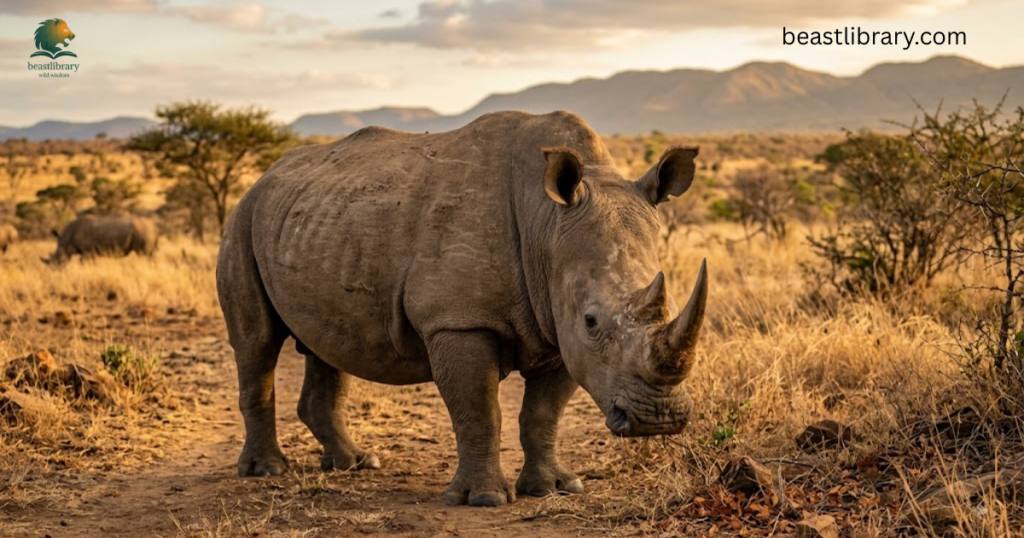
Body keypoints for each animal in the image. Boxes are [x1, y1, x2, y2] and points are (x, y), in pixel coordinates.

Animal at [217, 110, 708, 507]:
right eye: (592, 321)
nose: (658, 419)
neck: (547, 224)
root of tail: (264, 178)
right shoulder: (458, 321)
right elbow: (479, 410)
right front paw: (484, 499)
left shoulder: (558, 325)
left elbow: (542, 414)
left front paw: (554, 489)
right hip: (242, 220)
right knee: (257, 343)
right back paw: (266, 470)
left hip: (317, 221)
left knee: (327, 344)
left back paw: (357, 464)